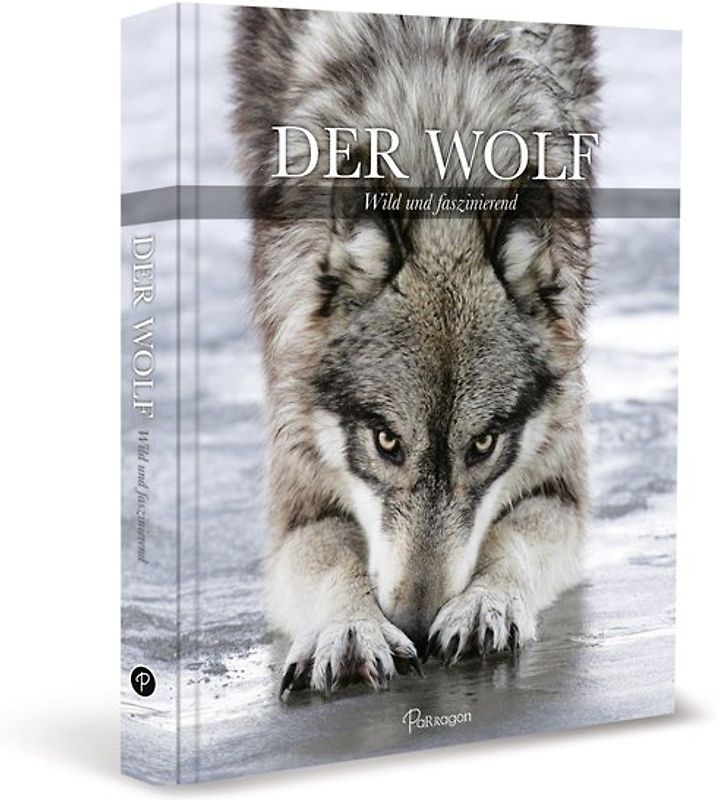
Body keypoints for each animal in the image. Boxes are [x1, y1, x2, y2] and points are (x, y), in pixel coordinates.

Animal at [232, 8, 599, 695]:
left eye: (482, 445)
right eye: (386, 442)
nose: (418, 627)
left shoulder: (561, 482)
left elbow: (513, 538)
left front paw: (486, 603)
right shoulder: (296, 493)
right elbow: (333, 560)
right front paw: (351, 626)